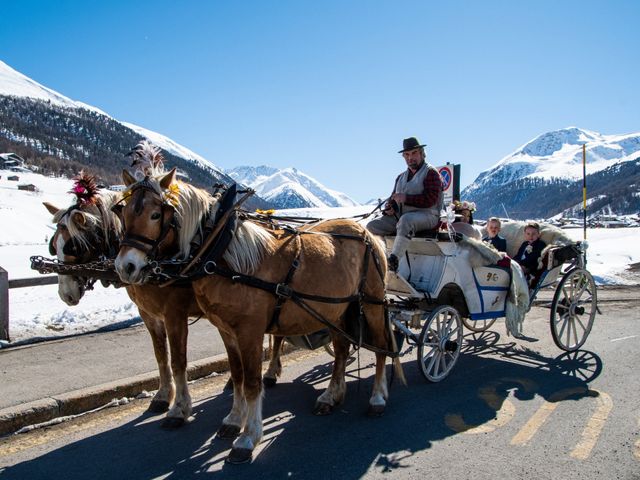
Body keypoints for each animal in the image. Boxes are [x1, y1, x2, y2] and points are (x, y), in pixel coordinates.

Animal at [112, 168, 398, 462]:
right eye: (122, 212)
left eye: (156, 215)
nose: (126, 266)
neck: (223, 255)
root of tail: (367, 233)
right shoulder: (225, 330)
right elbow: (237, 375)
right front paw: (233, 420)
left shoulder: (245, 330)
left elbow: (250, 382)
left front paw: (248, 436)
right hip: (336, 309)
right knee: (341, 350)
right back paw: (331, 396)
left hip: (372, 305)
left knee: (381, 347)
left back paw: (377, 398)